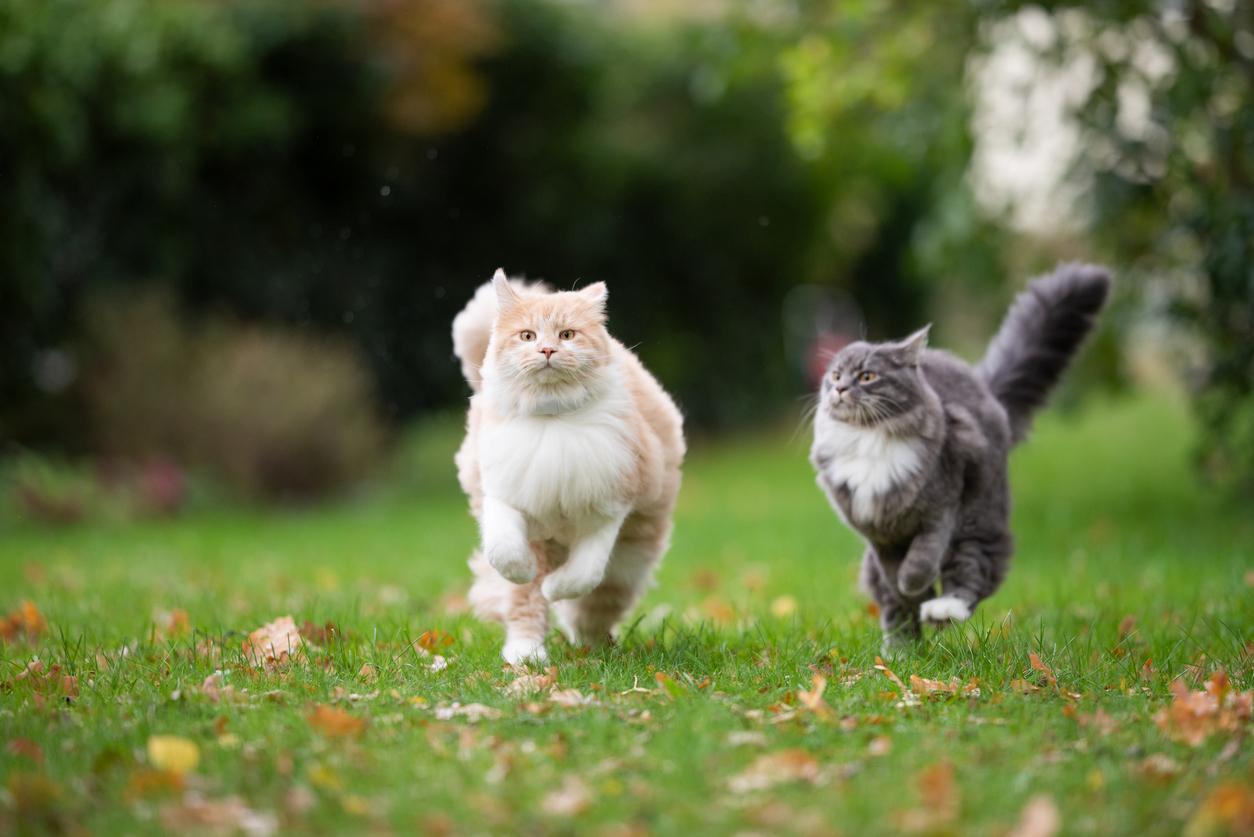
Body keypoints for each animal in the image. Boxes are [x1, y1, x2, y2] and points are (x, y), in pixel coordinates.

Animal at [453, 272, 687, 662]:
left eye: (566, 335)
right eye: (527, 336)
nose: (547, 351)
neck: (553, 422)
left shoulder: (609, 511)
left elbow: (582, 575)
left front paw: (555, 587)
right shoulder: (503, 497)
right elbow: (506, 555)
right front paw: (526, 571)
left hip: (629, 559)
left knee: (594, 607)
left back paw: (592, 646)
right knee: (524, 609)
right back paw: (526, 656)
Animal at [812, 264, 1108, 647]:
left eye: (866, 376)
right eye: (835, 374)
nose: (839, 387)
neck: (868, 439)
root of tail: (989, 394)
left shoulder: (941, 506)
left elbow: (922, 559)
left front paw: (915, 583)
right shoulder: (875, 530)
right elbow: (892, 574)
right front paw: (908, 591)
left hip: (977, 520)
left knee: (973, 573)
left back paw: (942, 611)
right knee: (895, 609)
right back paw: (901, 649)